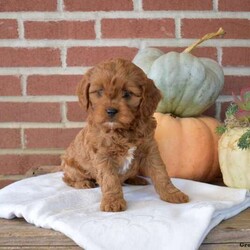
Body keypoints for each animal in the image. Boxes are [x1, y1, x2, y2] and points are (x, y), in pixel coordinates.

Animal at [61, 58, 188, 211]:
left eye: (127, 93)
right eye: (100, 91)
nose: (111, 111)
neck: (121, 130)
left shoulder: (150, 150)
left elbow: (160, 173)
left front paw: (172, 194)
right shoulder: (103, 155)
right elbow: (110, 179)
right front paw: (113, 202)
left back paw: (136, 179)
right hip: (72, 167)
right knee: (67, 178)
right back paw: (83, 183)